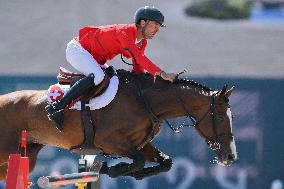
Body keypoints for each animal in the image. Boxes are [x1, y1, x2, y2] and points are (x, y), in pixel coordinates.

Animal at [0, 69, 236, 180]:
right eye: (221, 118)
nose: (230, 156)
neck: (145, 101)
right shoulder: (109, 142)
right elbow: (137, 161)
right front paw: (111, 168)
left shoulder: (140, 144)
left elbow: (165, 162)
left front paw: (133, 173)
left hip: (25, 155)